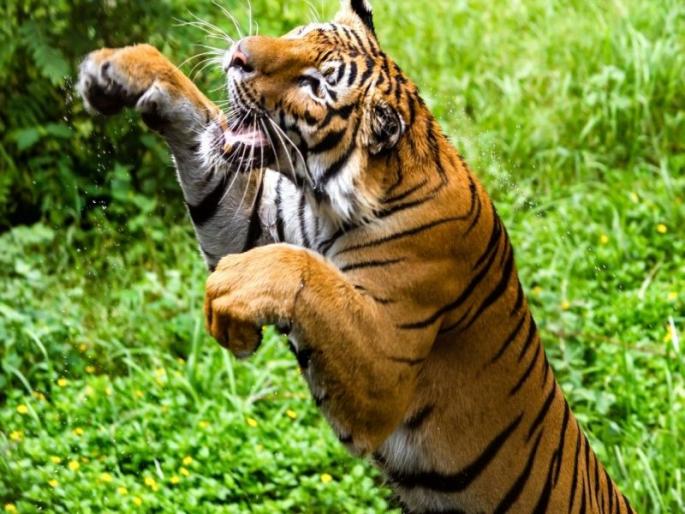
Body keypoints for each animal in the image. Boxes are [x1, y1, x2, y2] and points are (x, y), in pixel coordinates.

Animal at [77, 1, 635, 512]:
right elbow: (202, 128)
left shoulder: (386, 371)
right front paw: (119, 68)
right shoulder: (255, 220)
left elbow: (303, 272)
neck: (326, 201)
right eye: (296, 34)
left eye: (314, 85)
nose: (238, 56)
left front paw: (230, 301)